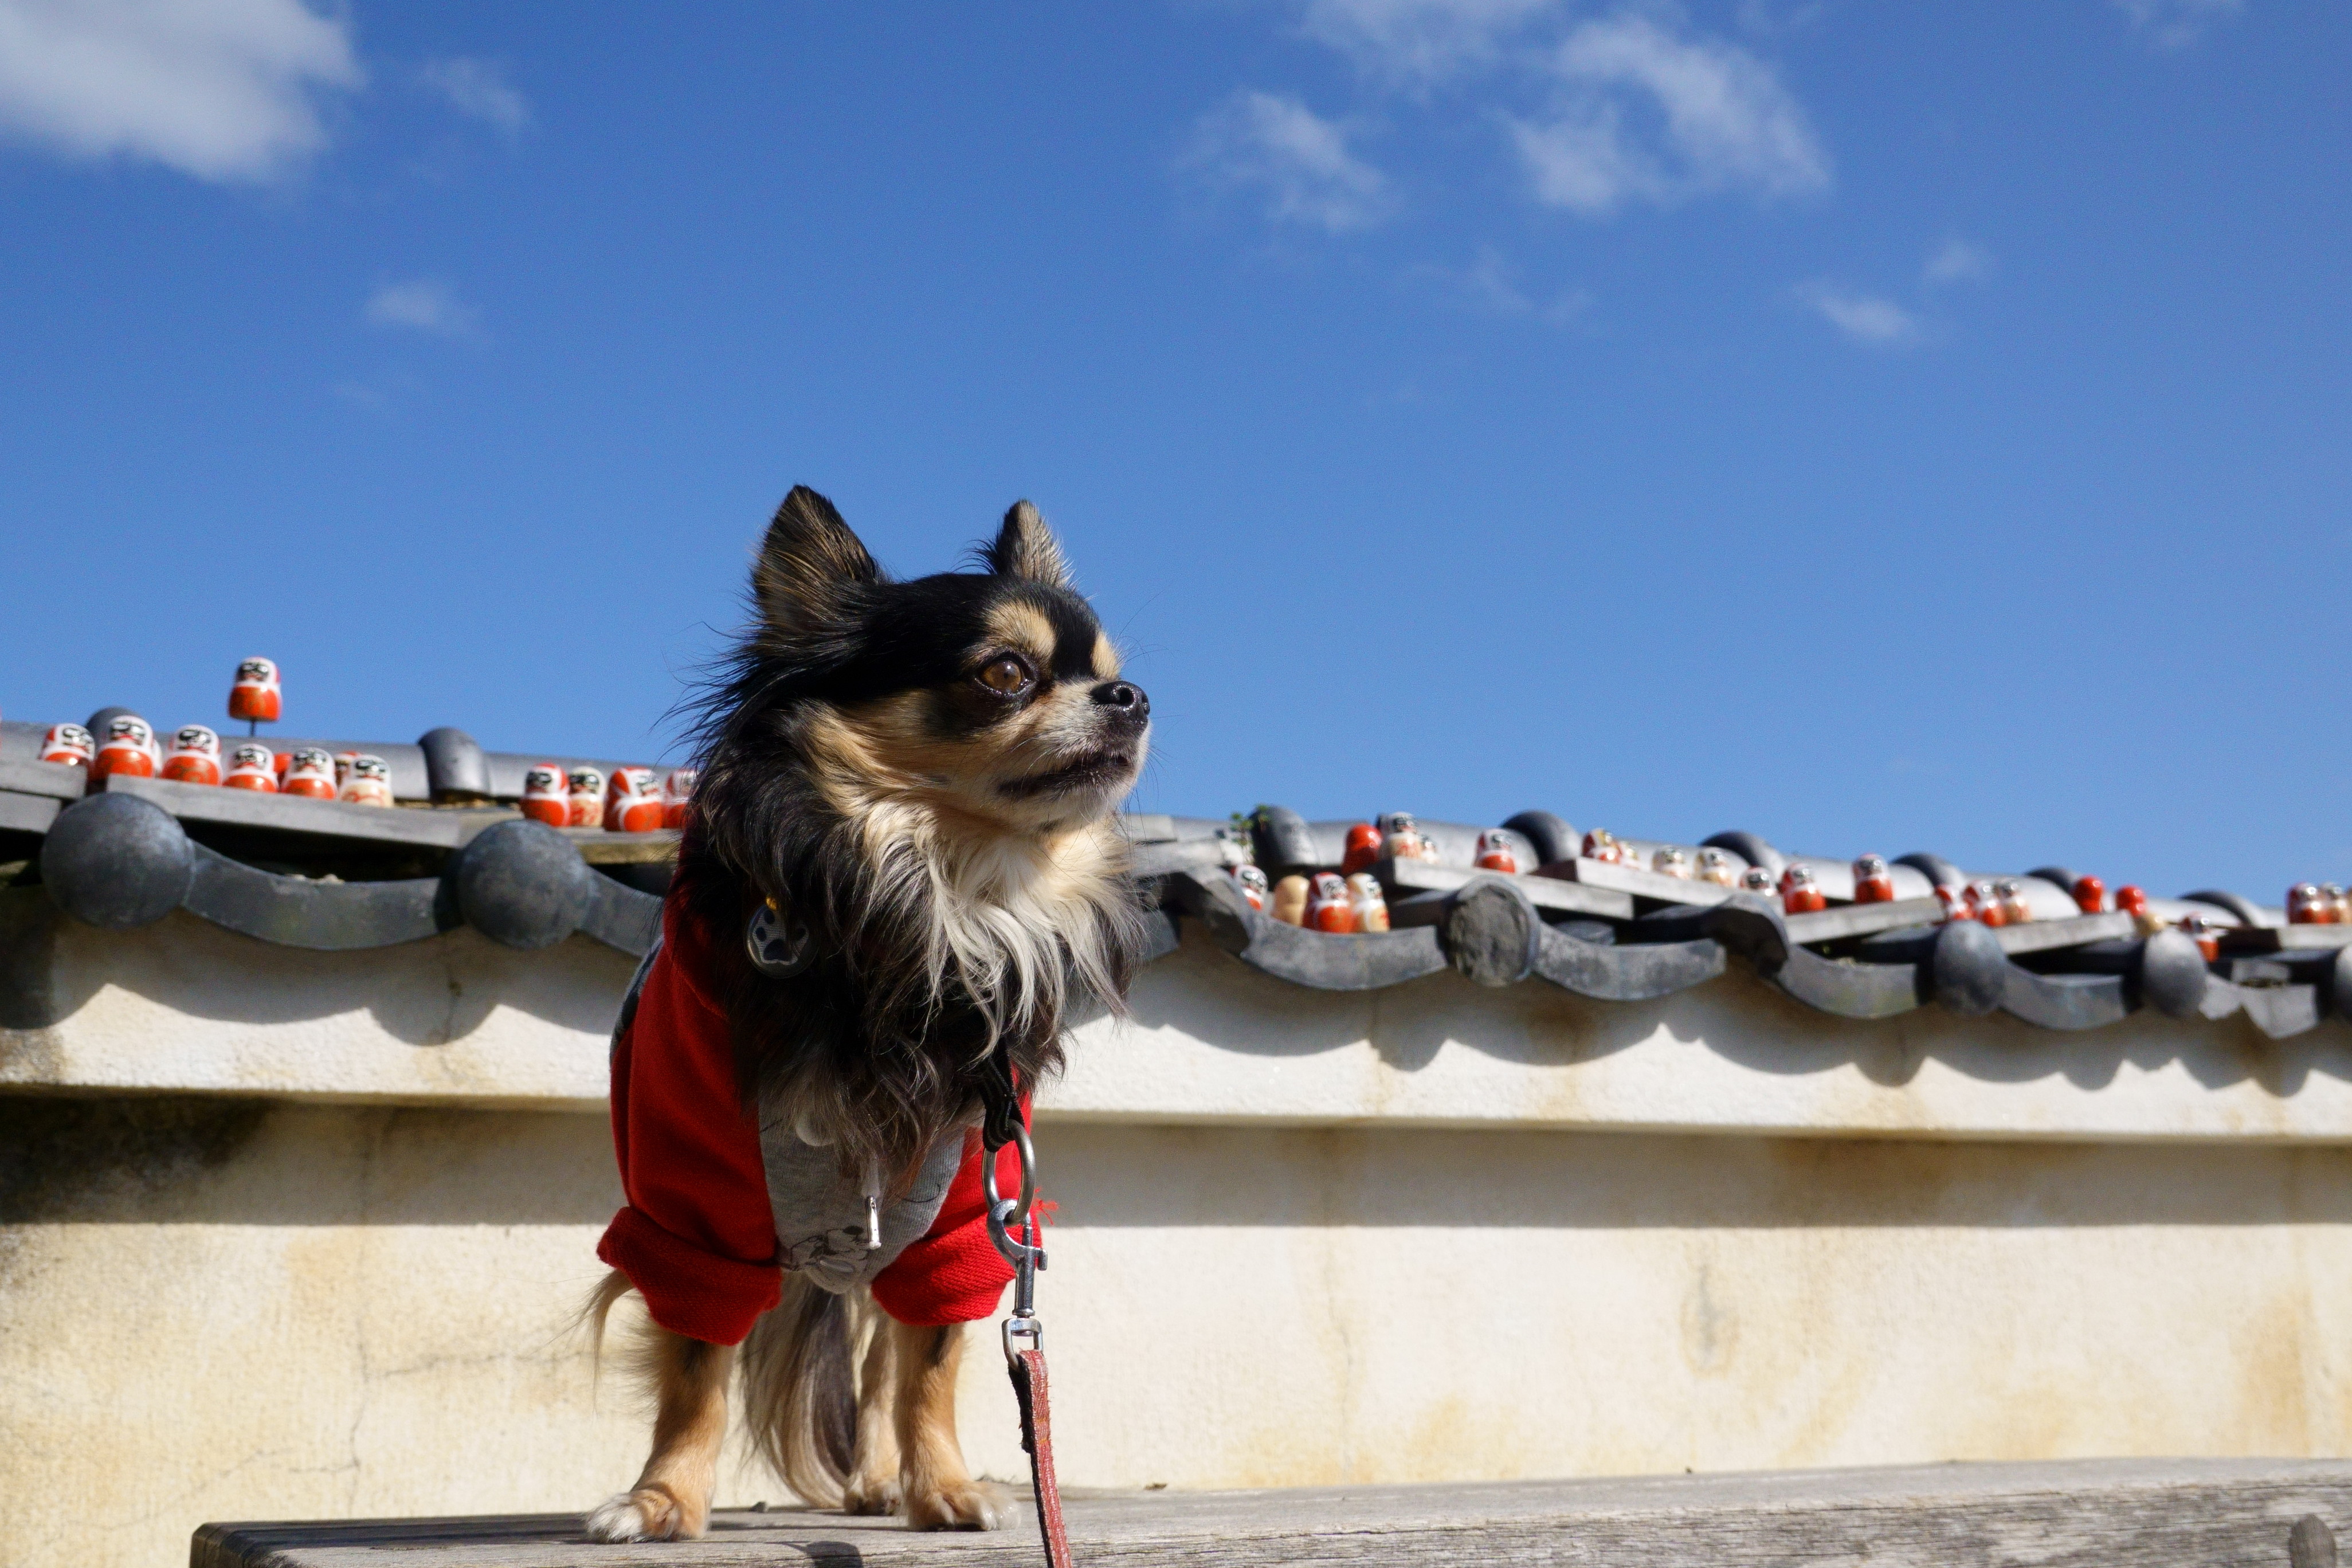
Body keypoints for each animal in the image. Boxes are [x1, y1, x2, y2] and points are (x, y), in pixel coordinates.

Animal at [583, 484, 1143, 1542]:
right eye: (1005, 674)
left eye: (1110, 674)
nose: (1133, 701)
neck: (927, 898)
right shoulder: (693, 1213)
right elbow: (695, 1369)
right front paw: (661, 1498)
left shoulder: (971, 1207)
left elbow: (928, 1365)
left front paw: (944, 1487)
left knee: (886, 1353)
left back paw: (889, 1477)